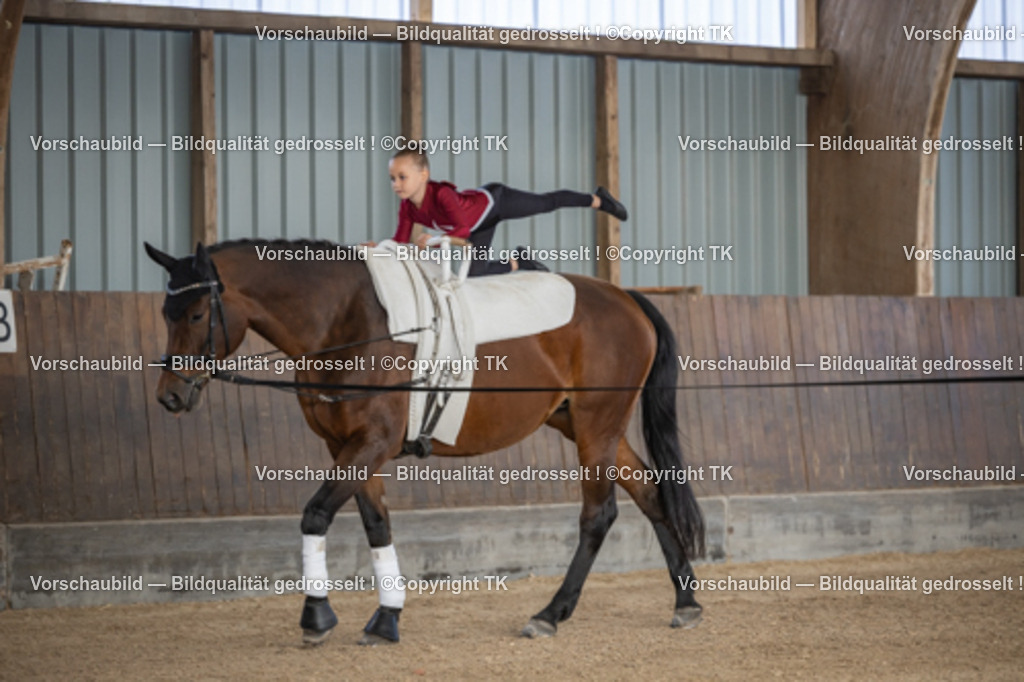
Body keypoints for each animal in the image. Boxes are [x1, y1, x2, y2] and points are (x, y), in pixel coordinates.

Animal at [144, 239, 705, 646]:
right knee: (650, 494)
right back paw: (686, 604)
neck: (346, 321)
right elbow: (376, 525)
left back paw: (550, 613)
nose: (170, 395)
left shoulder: (371, 442)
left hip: (596, 426)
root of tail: (625, 297)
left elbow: (315, 514)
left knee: (599, 514)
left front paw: (316, 617)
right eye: (165, 314)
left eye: (196, 315)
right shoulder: (347, 447)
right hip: (585, 425)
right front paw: (386, 619)